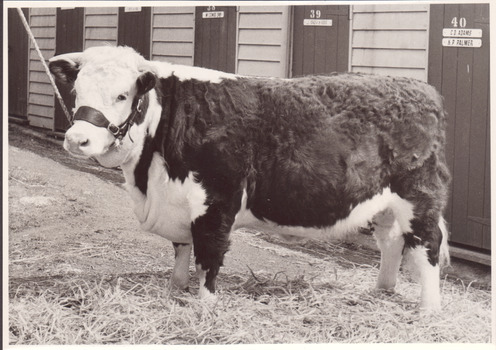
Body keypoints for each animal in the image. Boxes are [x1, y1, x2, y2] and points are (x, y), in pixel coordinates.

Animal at [49, 45, 450, 308]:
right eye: (77, 91)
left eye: (122, 95)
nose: (77, 139)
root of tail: (420, 88)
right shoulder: (177, 202)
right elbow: (181, 251)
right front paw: (174, 290)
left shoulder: (216, 201)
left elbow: (208, 256)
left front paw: (204, 307)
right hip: (386, 205)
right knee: (392, 243)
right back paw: (382, 291)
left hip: (420, 197)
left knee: (427, 246)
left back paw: (429, 310)